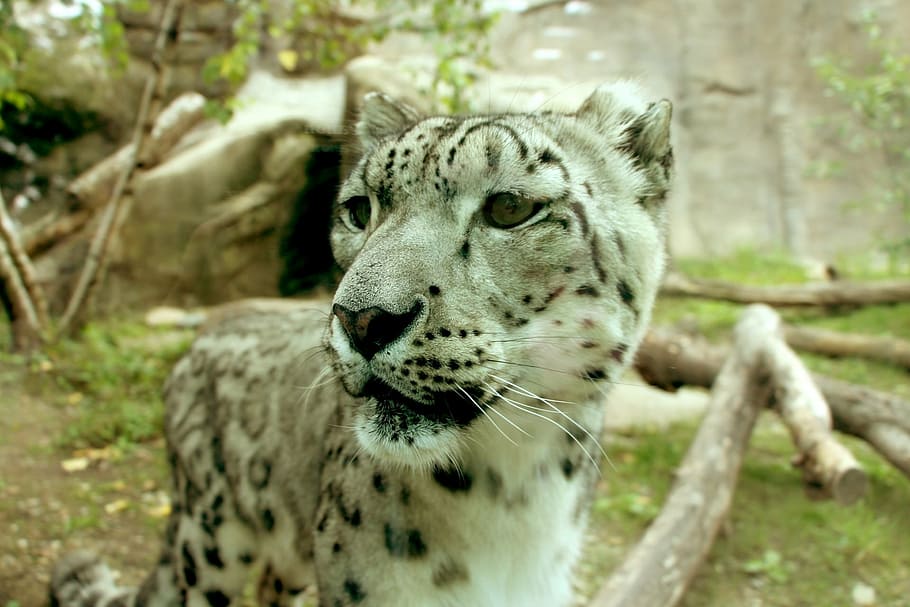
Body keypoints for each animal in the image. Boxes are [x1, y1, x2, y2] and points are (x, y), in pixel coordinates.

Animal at [49, 82, 673, 607]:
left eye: (511, 208)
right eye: (359, 209)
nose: (361, 319)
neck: (514, 491)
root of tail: (194, 349)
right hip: (208, 540)